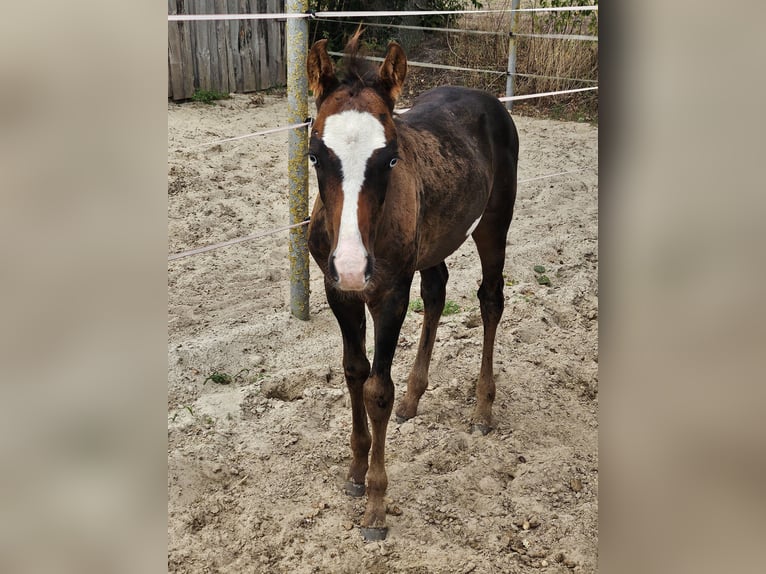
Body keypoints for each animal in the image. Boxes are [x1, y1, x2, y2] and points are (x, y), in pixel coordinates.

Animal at [306, 32, 518, 540]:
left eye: (390, 158)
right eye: (315, 154)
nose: (352, 265)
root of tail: (489, 100)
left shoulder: (389, 296)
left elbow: (376, 390)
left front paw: (376, 508)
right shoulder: (338, 293)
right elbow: (354, 371)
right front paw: (355, 472)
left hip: (493, 224)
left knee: (490, 299)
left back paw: (482, 409)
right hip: (436, 240)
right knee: (437, 291)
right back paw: (413, 397)